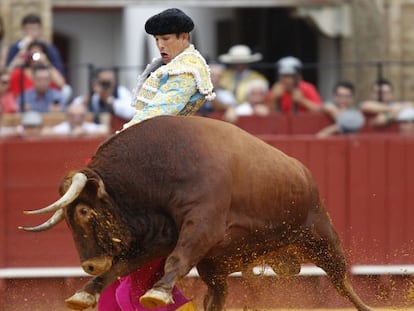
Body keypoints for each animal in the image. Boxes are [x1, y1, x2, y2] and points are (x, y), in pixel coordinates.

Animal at [21, 115, 374, 311]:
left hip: (323, 238)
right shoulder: (157, 238)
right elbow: (121, 267)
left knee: (342, 282)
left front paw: (157, 293)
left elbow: (176, 260)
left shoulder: (203, 225)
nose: (90, 264)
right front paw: (84, 294)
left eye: (83, 211)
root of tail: (302, 170)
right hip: (215, 267)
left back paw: (368, 306)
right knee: (216, 298)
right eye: (66, 218)